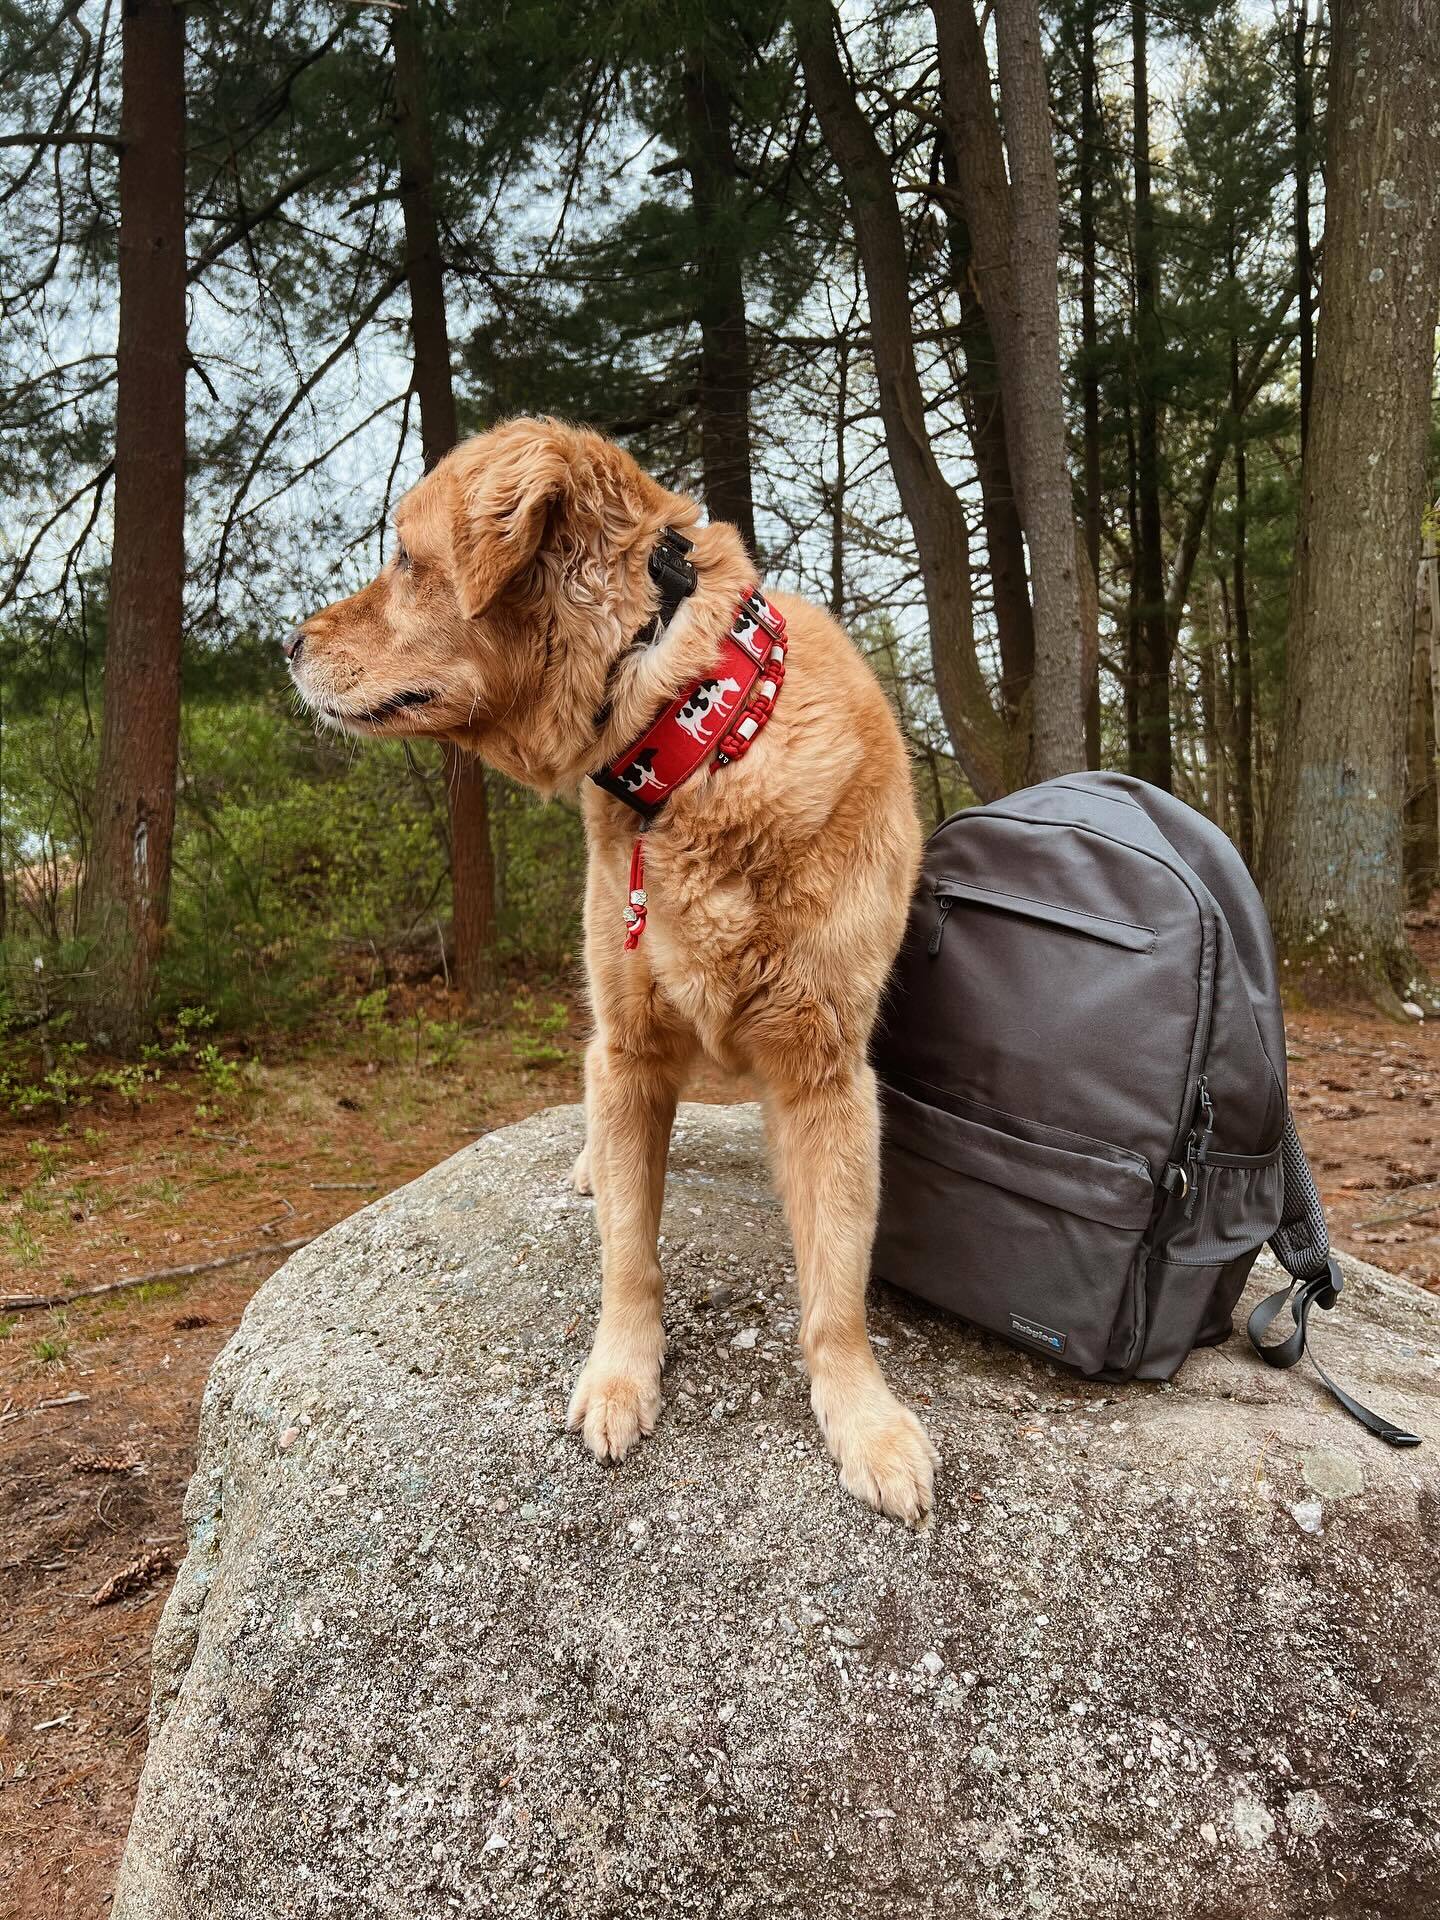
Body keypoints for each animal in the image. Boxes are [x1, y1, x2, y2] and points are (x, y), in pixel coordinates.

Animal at [288, 424, 940, 1528]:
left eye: (408, 561)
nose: (285, 646)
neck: (699, 730)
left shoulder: (824, 1072)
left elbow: (837, 1292)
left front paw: (864, 1420)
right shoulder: (626, 1054)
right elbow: (630, 1253)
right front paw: (621, 1379)